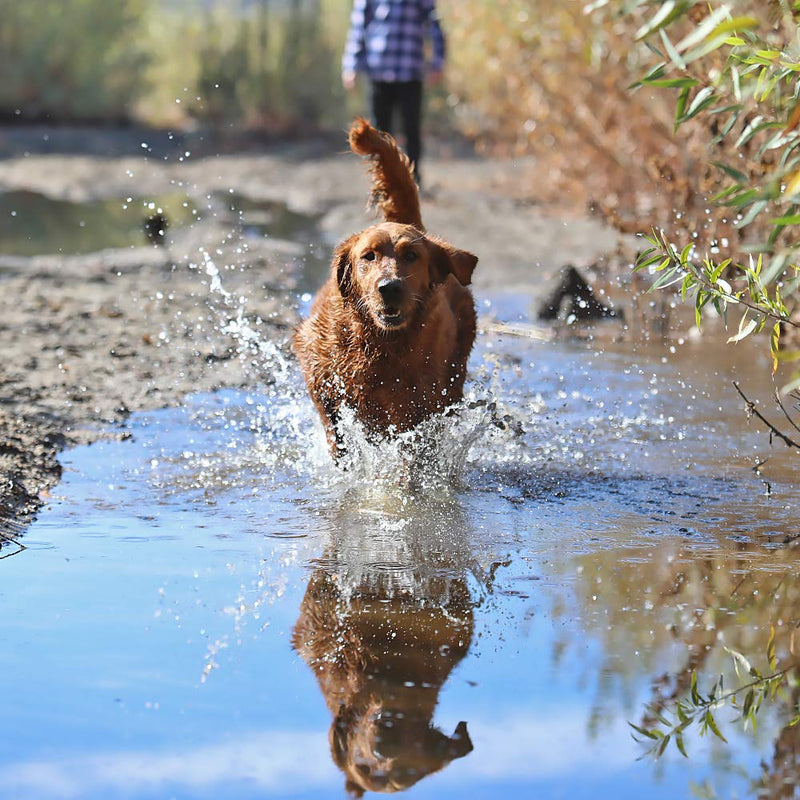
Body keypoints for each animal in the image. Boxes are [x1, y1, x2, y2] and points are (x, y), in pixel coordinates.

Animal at [296, 119, 478, 456]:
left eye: (412, 256)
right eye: (369, 255)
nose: (389, 287)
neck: (381, 344)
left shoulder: (419, 405)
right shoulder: (317, 367)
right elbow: (333, 423)